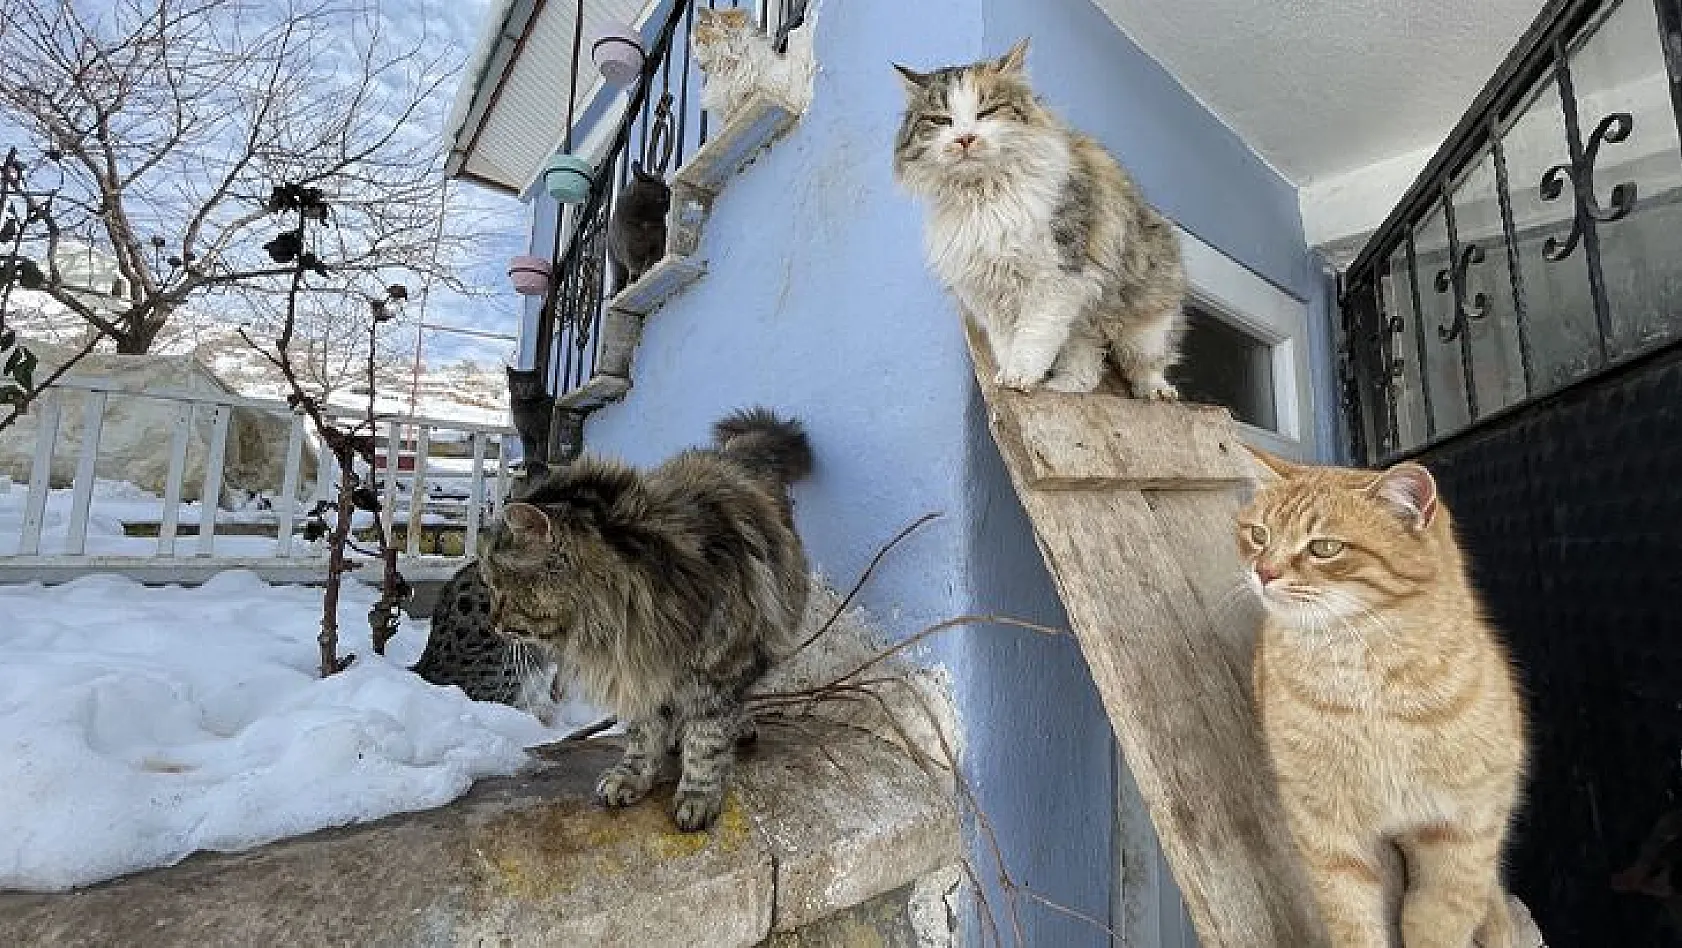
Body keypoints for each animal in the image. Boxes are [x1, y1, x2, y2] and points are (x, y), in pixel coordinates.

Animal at [477, 406, 810, 830]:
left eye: (498, 589)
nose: (492, 623)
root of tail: (733, 456)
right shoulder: (638, 673)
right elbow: (643, 736)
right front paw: (633, 776)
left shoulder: (719, 670)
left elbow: (707, 742)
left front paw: (698, 796)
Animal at [605, 161, 669, 292]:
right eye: (663, 196)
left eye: (668, 193)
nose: (669, 202)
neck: (645, 220)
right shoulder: (628, 247)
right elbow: (634, 264)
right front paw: (636, 276)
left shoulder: (657, 243)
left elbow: (652, 258)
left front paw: (647, 269)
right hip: (616, 261)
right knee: (619, 277)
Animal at [888, 39, 1190, 396]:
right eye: (941, 120)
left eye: (986, 112)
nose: (965, 139)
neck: (984, 197)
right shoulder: (989, 293)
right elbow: (1006, 342)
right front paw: (1006, 377)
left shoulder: (1058, 277)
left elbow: (1033, 337)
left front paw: (1020, 377)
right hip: (1084, 325)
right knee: (1088, 367)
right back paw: (1065, 386)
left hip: (1147, 324)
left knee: (1147, 362)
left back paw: (1156, 390)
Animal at [1237, 450, 1527, 948]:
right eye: (1259, 535)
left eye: (1324, 548)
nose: (1264, 572)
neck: (1368, 685)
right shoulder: (1328, 832)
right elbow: (1353, 921)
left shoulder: (1462, 830)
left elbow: (1442, 918)